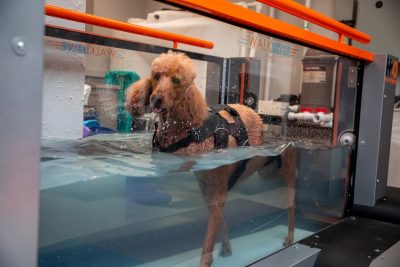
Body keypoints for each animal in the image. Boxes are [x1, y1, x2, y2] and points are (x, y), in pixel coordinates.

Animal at [126, 51, 296, 266]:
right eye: (156, 76)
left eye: (176, 80)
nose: (156, 99)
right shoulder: (206, 190)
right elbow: (219, 221)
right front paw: (226, 246)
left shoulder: (218, 190)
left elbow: (209, 237)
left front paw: (207, 259)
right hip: (266, 170)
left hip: (284, 171)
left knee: (292, 205)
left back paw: (290, 236)